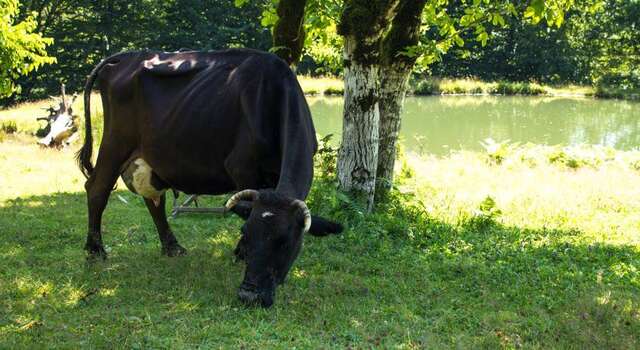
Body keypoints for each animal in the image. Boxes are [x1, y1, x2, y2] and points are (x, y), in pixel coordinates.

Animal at [79, 48, 344, 306]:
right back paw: (95, 250)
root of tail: (126, 56)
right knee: (97, 189)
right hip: (115, 144)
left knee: (154, 199)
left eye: (285, 241)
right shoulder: (241, 167)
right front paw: (241, 253)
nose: (249, 295)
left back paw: (172, 247)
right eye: (247, 233)